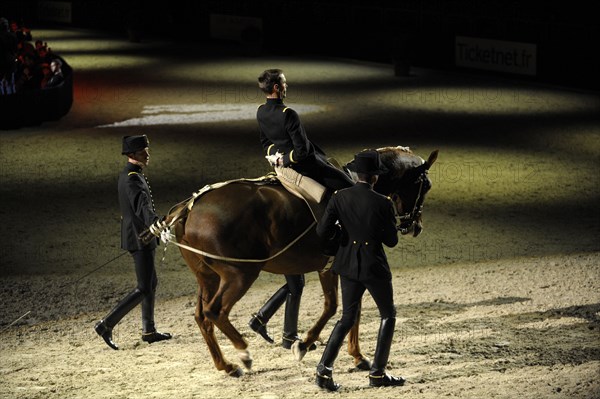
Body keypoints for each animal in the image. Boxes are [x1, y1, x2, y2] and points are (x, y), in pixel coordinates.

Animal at [171, 145, 438, 376]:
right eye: (425, 185)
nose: (415, 226)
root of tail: (190, 208)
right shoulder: (331, 268)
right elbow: (333, 307)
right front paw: (306, 344)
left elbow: (351, 310)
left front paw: (356, 355)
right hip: (239, 275)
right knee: (215, 311)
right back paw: (244, 353)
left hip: (208, 277)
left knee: (202, 317)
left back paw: (225, 365)